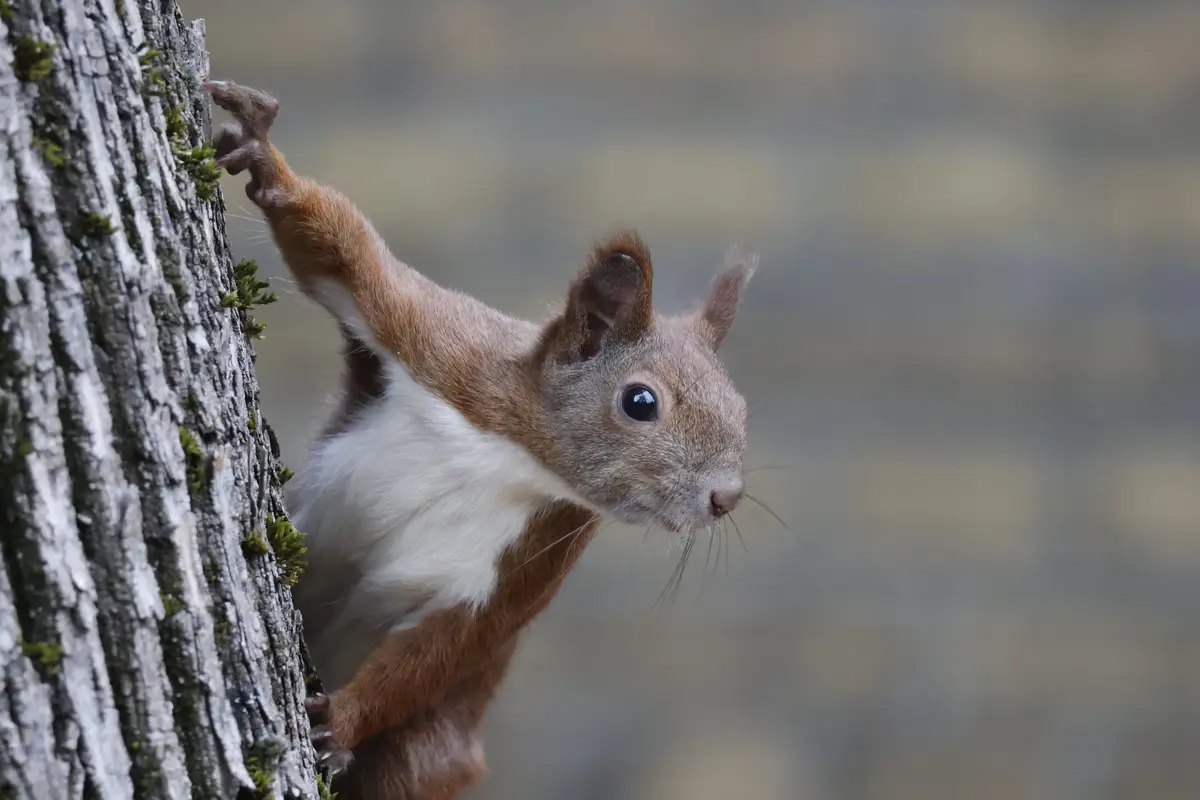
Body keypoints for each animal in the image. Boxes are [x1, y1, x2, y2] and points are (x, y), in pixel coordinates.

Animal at [203, 80, 756, 800]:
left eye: (742, 409)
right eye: (641, 402)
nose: (726, 498)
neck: (513, 457)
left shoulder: (526, 565)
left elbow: (442, 650)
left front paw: (342, 723)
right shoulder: (435, 343)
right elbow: (342, 252)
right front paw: (265, 158)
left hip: (428, 750)